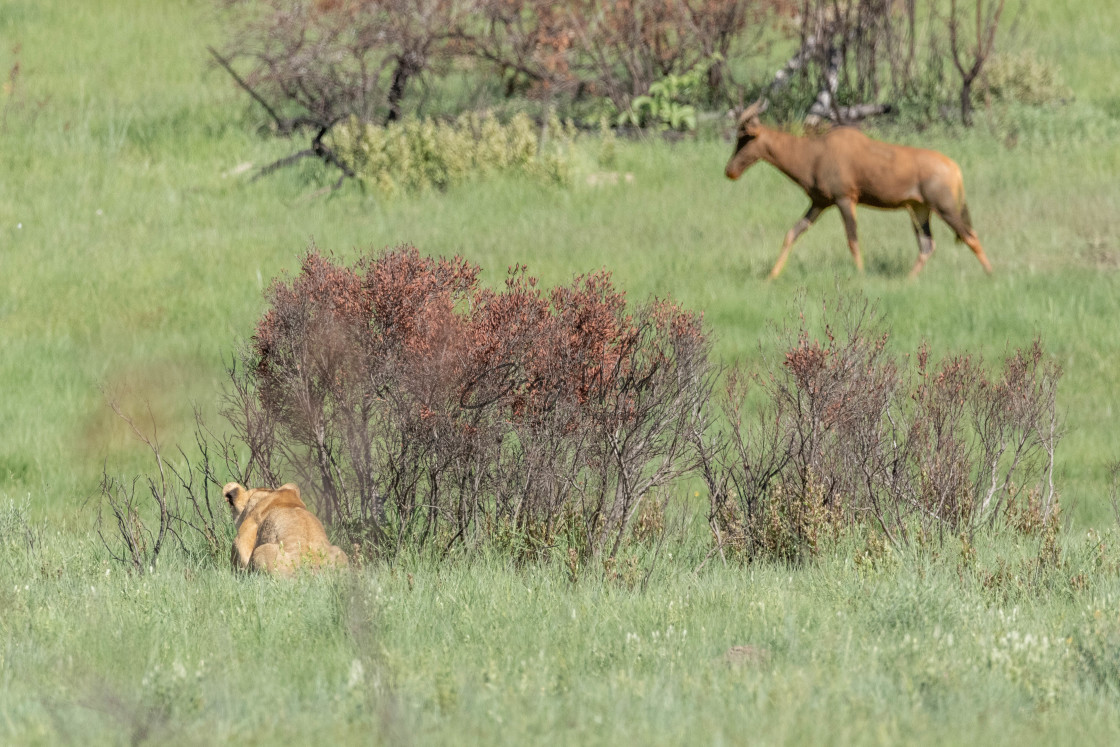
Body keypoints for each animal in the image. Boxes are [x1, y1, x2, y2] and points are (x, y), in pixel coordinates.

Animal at [730, 100, 994, 278]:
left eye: (744, 137)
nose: (729, 171)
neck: (817, 152)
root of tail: (954, 168)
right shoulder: (819, 204)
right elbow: (792, 234)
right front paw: (770, 277)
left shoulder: (845, 199)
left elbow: (853, 240)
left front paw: (861, 276)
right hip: (919, 210)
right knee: (927, 245)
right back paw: (906, 281)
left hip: (945, 208)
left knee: (970, 236)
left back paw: (991, 275)